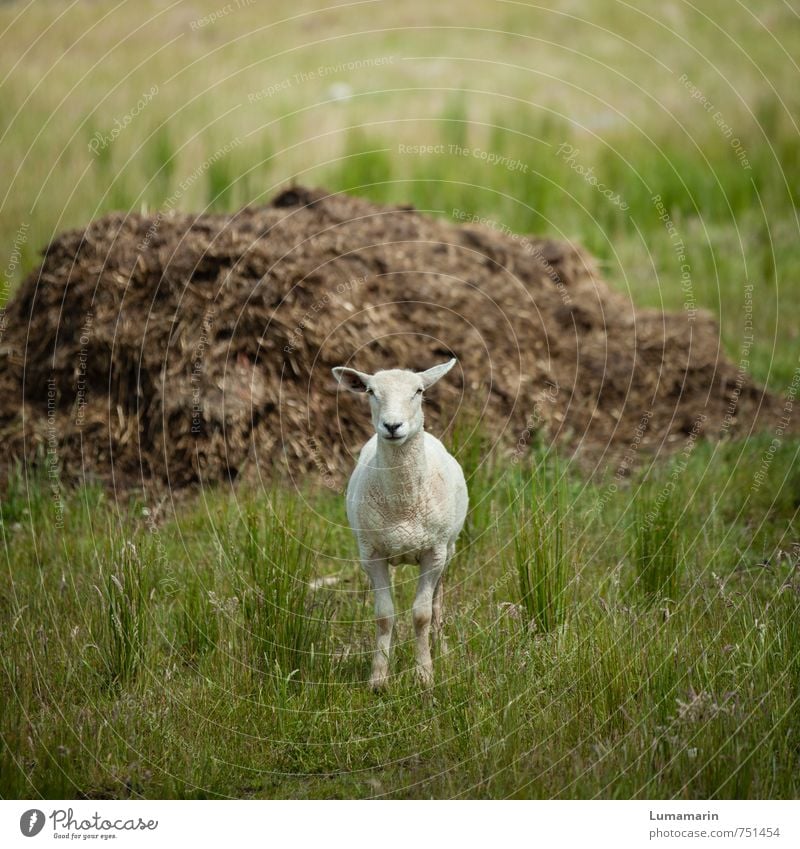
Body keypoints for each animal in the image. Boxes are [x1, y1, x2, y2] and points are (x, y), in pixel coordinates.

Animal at [332, 354, 468, 684]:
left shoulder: (434, 552)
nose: (392, 426)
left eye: (418, 391)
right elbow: (384, 614)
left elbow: (422, 615)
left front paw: (425, 675)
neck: (403, 505)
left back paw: (442, 650)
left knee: (438, 602)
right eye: (370, 391)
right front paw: (379, 679)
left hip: (449, 549)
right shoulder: (371, 555)